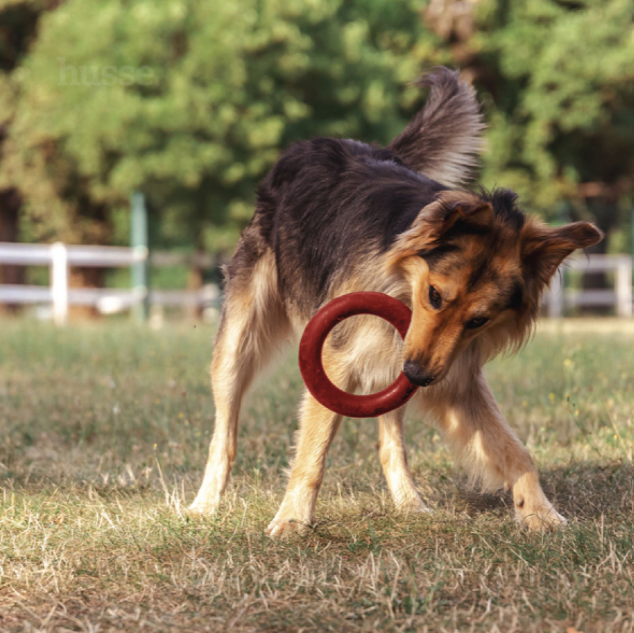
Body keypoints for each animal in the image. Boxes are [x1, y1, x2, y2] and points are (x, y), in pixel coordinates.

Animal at [186, 68, 596, 532]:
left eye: (478, 321)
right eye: (434, 295)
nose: (417, 375)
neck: (400, 283)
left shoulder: (455, 377)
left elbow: (515, 450)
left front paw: (541, 514)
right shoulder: (336, 361)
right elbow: (313, 451)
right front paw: (292, 519)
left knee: (390, 443)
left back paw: (408, 503)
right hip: (237, 345)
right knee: (225, 433)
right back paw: (204, 505)